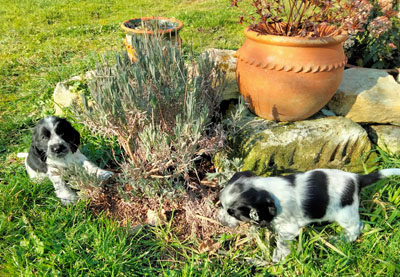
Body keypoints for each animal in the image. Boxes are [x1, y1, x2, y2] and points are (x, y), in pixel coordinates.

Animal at [217, 168, 400, 260]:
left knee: (356, 228)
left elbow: (282, 244)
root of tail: (356, 179)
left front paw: (278, 258)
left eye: (233, 214)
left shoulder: (288, 229)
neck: (264, 188)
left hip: (345, 214)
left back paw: (340, 239)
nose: (221, 222)